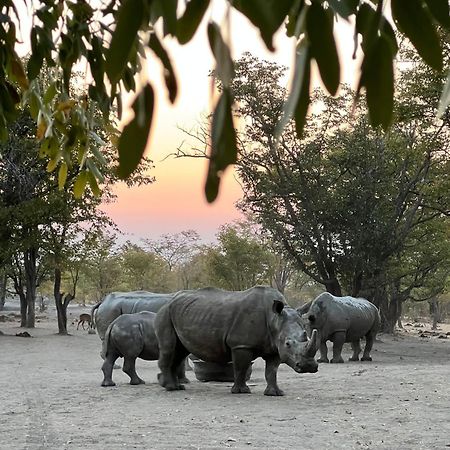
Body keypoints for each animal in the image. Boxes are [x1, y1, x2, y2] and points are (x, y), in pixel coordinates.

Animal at [156, 286, 318, 396]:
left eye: (306, 337)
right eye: (288, 344)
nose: (309, 366)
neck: (275, 320)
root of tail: (167, 301)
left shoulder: (274, 346)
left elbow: (272, 371)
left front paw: (276, 393)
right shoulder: (241, 345)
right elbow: (241, 367)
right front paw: (241, 391)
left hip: (182, 313)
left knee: (180, 352)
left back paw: (177, 387)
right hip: (165, 313)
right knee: (169, 349)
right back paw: (171, 388)